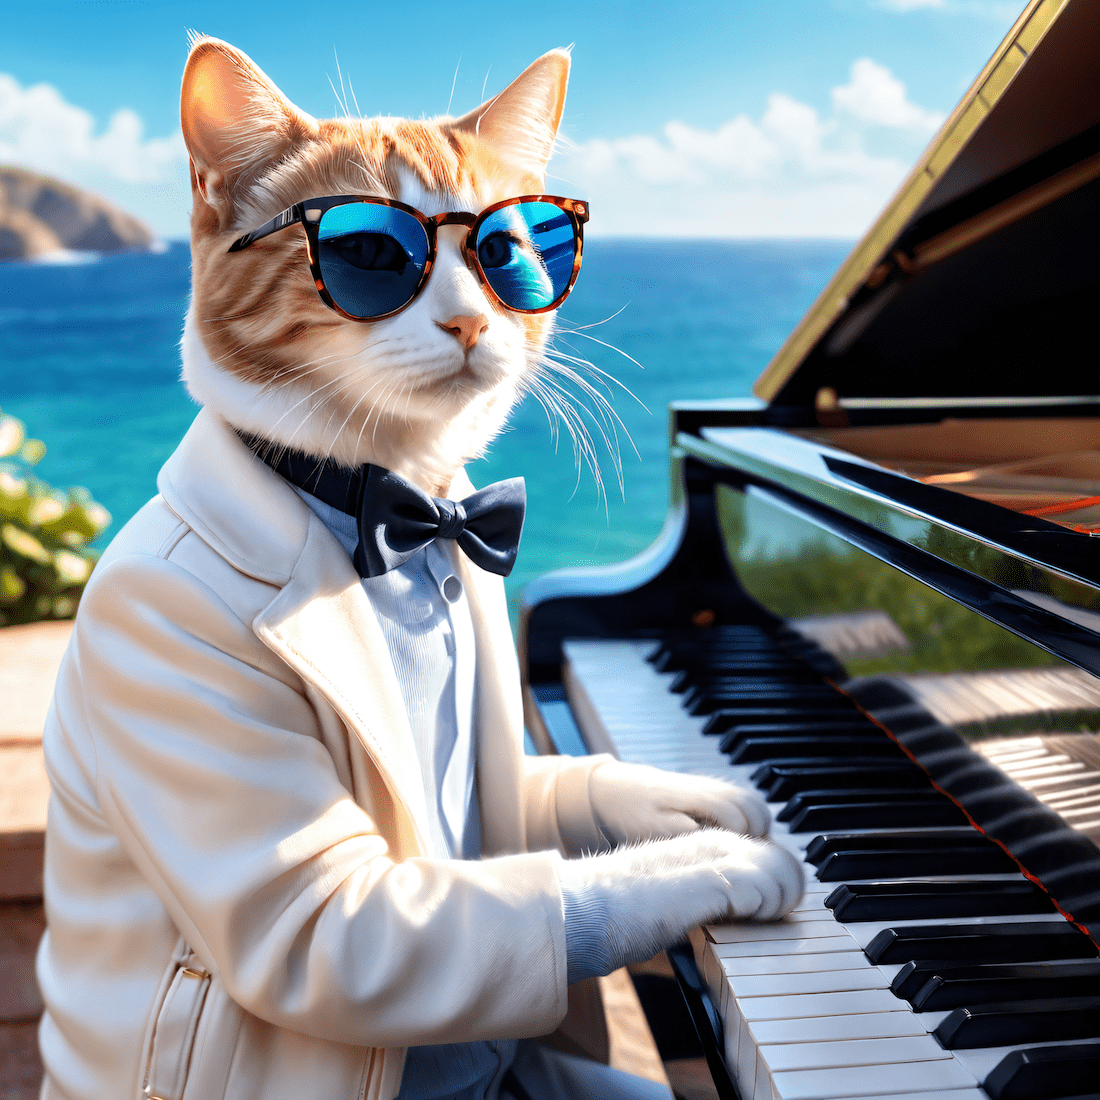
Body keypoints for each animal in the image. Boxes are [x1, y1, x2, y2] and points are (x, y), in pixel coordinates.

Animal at [36, 36, 800, 1100]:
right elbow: (525, 901)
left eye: (510, 250)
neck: (408, 510)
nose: (472, 320)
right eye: (368, 254)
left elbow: (557, 794)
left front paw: (684, 799)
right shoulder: (335, 914)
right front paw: (714, 862)